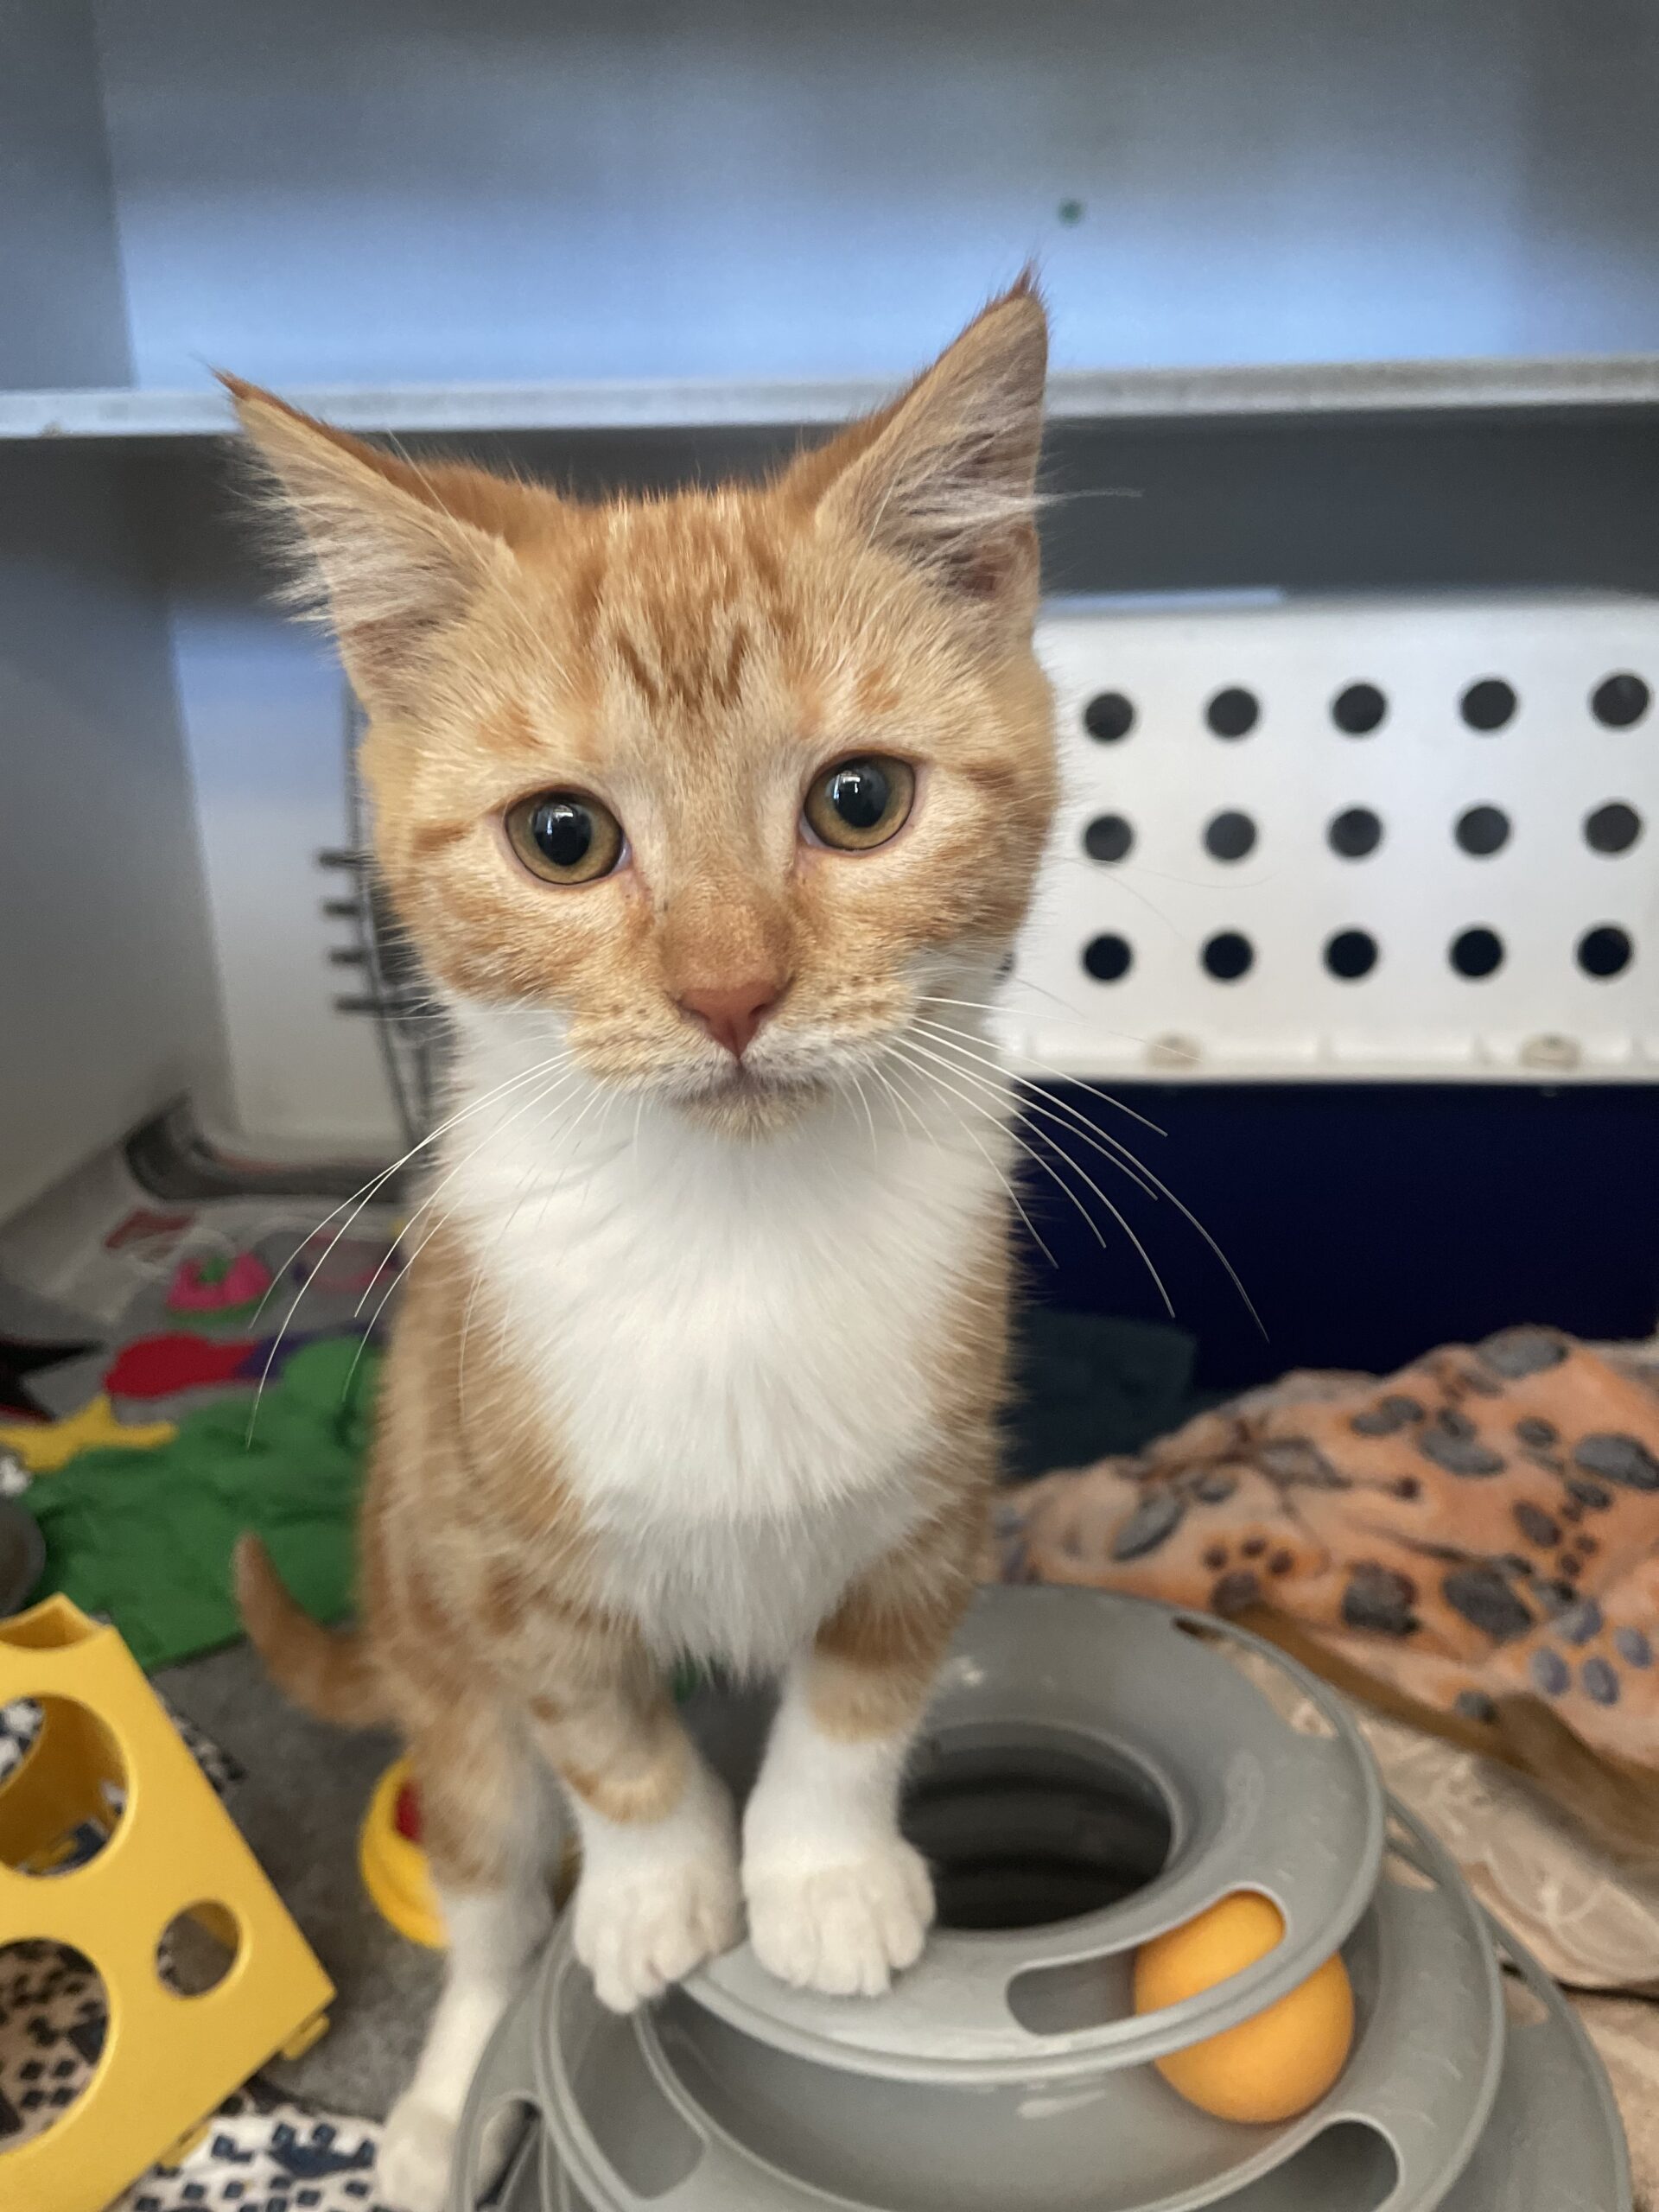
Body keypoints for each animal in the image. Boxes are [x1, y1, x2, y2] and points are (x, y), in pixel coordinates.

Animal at [229, 277, 1056, 2212]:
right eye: (562, 836)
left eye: (859, 802)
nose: (730, 989)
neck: (730, 1231)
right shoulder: (497, 1544)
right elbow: (604, 1737)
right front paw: (664, 1891)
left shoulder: (938, 1485)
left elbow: (860, 1688)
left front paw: (819, 1878)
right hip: (430, 1644)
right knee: (479, 1884)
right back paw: (441, 2108)